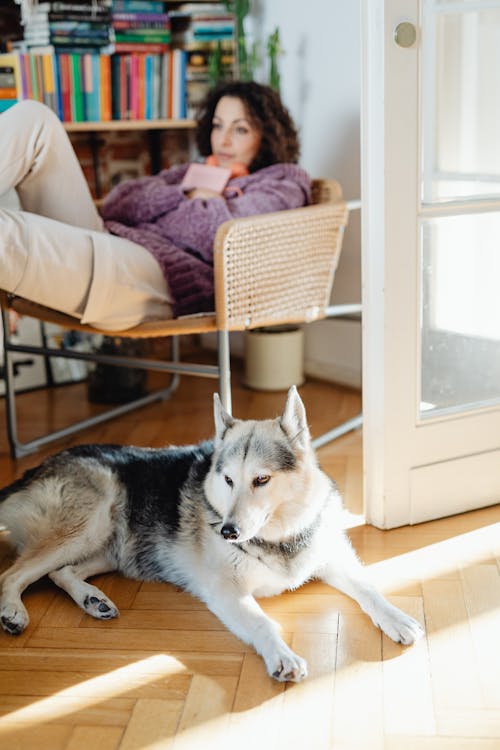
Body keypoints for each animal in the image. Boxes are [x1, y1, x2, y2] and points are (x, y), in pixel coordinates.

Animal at [0, 388, 424, 680]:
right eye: (229, 480)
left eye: (261, 480)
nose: (228, 531)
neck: (279, 537)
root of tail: (36, 468)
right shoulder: (227, 591)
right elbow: (263, 623)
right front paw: (281, 654)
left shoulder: (331, 559)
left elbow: (368, 588)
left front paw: (395, 617)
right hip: (89, 524)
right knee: (14, 574)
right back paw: (14, 612)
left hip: (109, 548)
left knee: (60, 573)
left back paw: (93, 599)